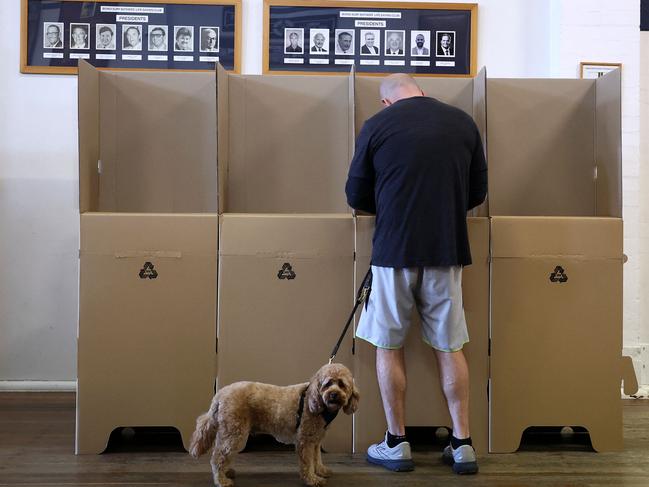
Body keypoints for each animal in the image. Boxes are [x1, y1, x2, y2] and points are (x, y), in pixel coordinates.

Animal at [187, 364, 360, 486]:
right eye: (327, 384)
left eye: (341, 384)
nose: (333, 394)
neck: (318, 404)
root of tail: (220, 394)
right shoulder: (305, 441)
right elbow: (307, 464)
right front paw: (312, 479)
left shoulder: (316, 441)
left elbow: (317, 459)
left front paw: (321, 471)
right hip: (234, 433)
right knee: (217, 457)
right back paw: (221, 480)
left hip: (230, 432)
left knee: (222, 454)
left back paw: (226, 472)